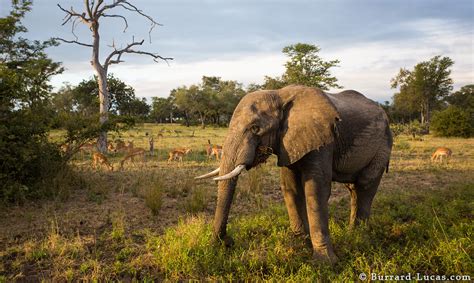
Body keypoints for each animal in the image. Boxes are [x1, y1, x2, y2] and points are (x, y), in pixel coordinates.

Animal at [196, 85, 392, 264]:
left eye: (255, 128)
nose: (227, 242)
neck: (279, 94)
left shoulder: (322, 140)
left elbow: (316, 190)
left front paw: (325, 263)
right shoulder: (287, 143)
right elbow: (290, 187)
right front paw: (300, 246)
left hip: (383, 144)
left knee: (366, 185)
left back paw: (360, 236)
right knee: (353, 189)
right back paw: (352, 233)